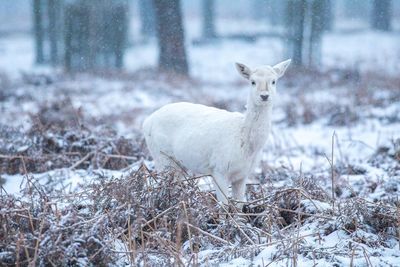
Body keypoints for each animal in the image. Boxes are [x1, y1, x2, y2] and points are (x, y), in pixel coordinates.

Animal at [143, 60, 290, 207]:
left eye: (274, 81)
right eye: (252, 81)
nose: (264, 96)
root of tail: (147, 121)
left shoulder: (243, 175)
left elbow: (239, 205)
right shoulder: (219, 168)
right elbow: (223, 205)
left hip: (177, 164)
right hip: (161, 156)